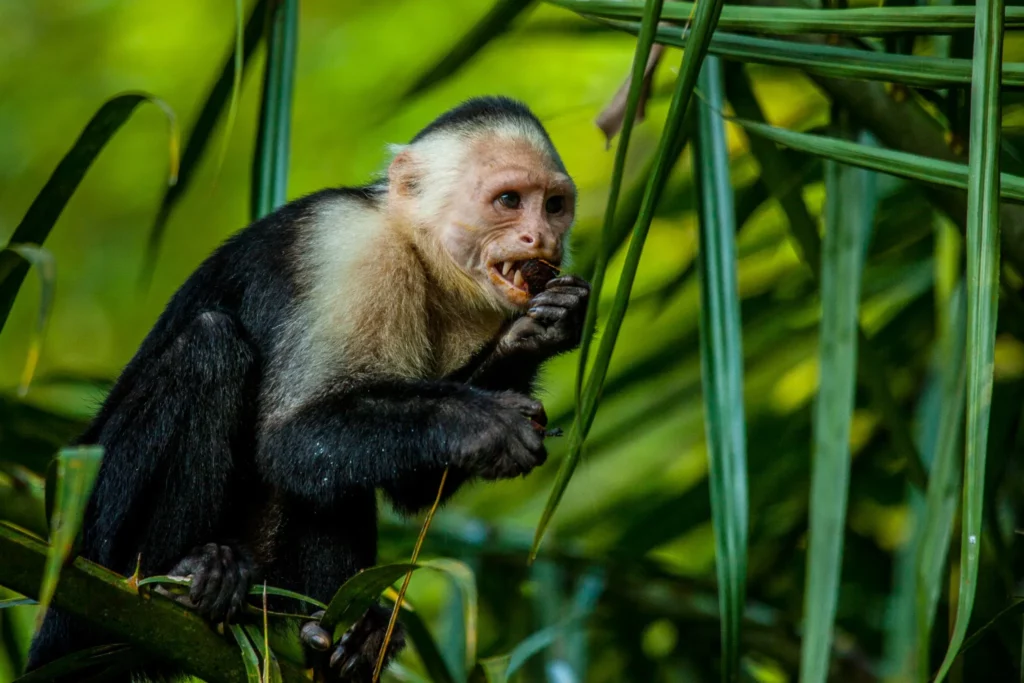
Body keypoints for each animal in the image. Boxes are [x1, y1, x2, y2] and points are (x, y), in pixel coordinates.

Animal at [25, 96, 590, 683]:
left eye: (554, 206)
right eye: (509, 201)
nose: (542, 239)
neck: (417, 247)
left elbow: (409, 484)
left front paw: (542, 329)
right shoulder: (350, 250)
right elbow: (289, 434)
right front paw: (487, 422)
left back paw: (338, 635)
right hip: (96, 533)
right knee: (211, 347)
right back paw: (178, 577)